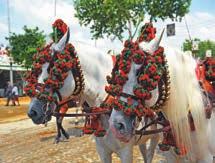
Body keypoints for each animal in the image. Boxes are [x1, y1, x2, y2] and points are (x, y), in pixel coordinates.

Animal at [26, 28, 159, 162]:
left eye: (54, 72)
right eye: (36, 71)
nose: (33, 112)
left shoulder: (126, 152)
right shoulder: (103, 151)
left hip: (155, 136)